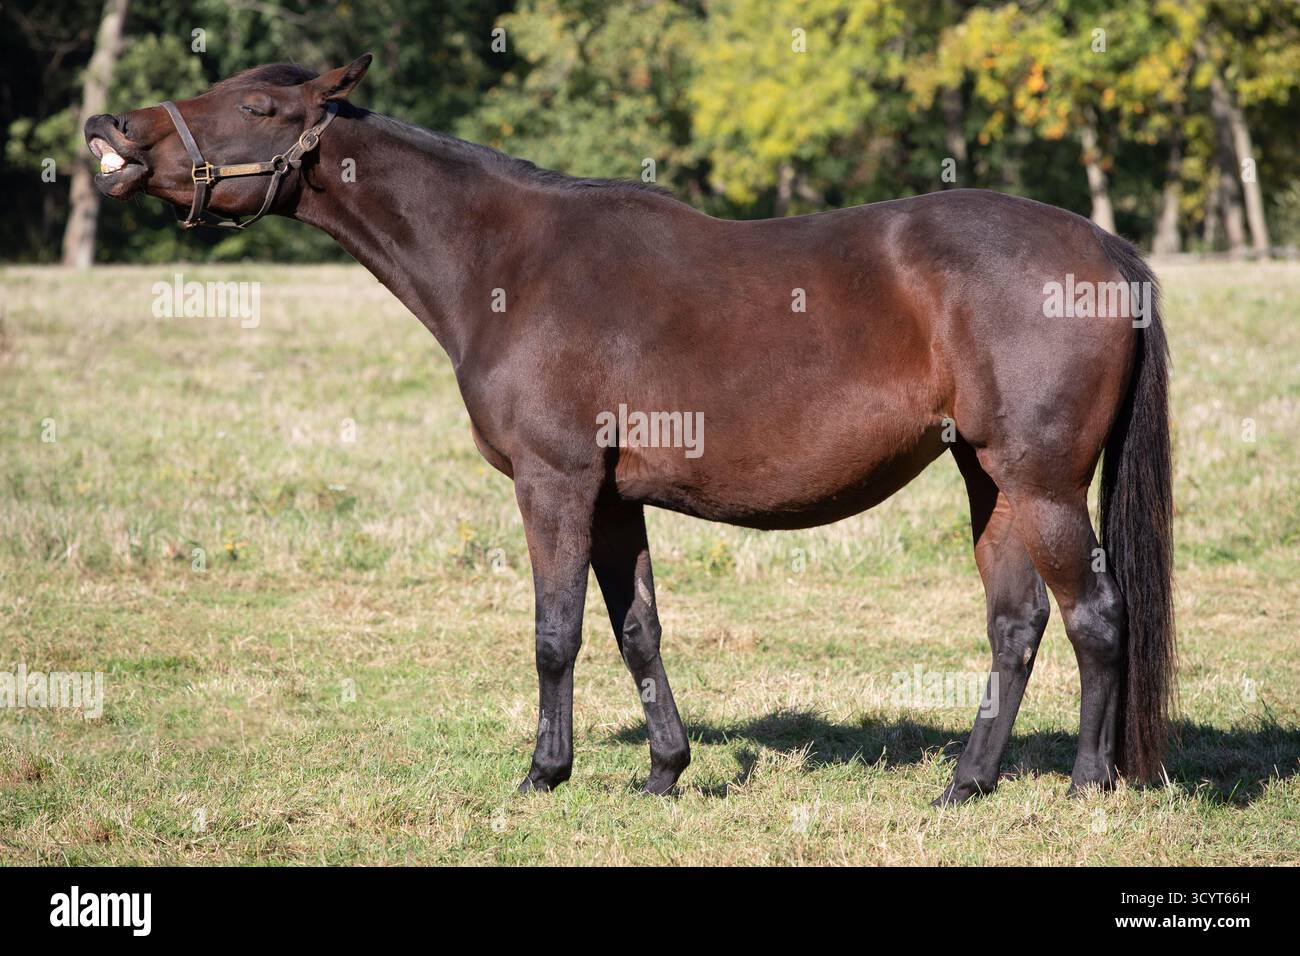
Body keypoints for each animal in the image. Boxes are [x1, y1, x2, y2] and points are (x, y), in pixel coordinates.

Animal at [84, 55, 1174, 804]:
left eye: (259, 108)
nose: (112, 130)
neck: (509, 262)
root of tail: (1104, 250)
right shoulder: (614, 498)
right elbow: (636, 628)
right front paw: (664, 769)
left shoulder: (556, 481)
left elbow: (556, 632)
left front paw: (543, 772)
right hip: (990, 481)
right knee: (1016, 624)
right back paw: (964, 783)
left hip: (1040, 483)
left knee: (1093, 616)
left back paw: (1088, 782)